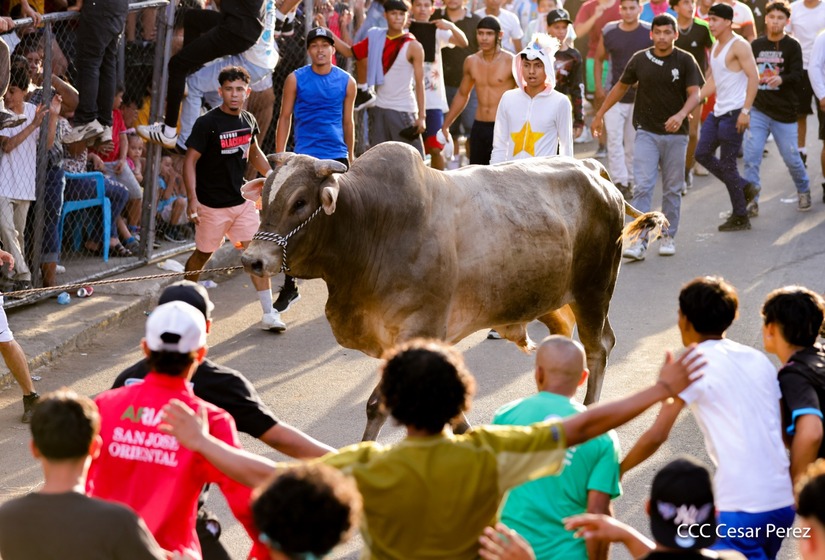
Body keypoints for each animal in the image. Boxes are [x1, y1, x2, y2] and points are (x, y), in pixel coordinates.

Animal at [240, 142, 666, 441]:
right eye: (264, 200)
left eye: (300, 202)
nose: (252, 260)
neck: (370, 223)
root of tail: (593, 168)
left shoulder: (419, 328)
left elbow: (377, 405)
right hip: (548, 298)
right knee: (565, 340)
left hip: (594, 290)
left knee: (599, 348)